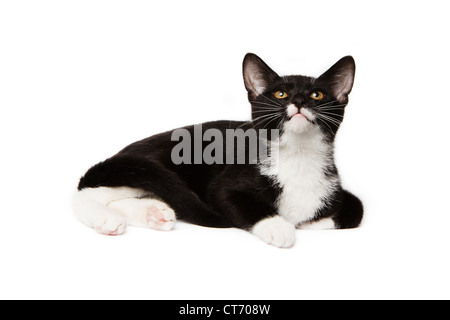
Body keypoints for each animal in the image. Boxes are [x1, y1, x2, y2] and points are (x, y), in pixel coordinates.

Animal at [73, 53, 362, 248]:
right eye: (280, 94)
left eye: (317, 95)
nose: (300, 101)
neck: (298, 156)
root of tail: (122, 153)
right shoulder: (223, 186)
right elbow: (239, 202)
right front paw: (279, 226)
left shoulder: (334, 188)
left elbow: (355, 210)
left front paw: (309, 222)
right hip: (152, 168)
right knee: (88, 192)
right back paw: (106, 219)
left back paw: (153, 213)